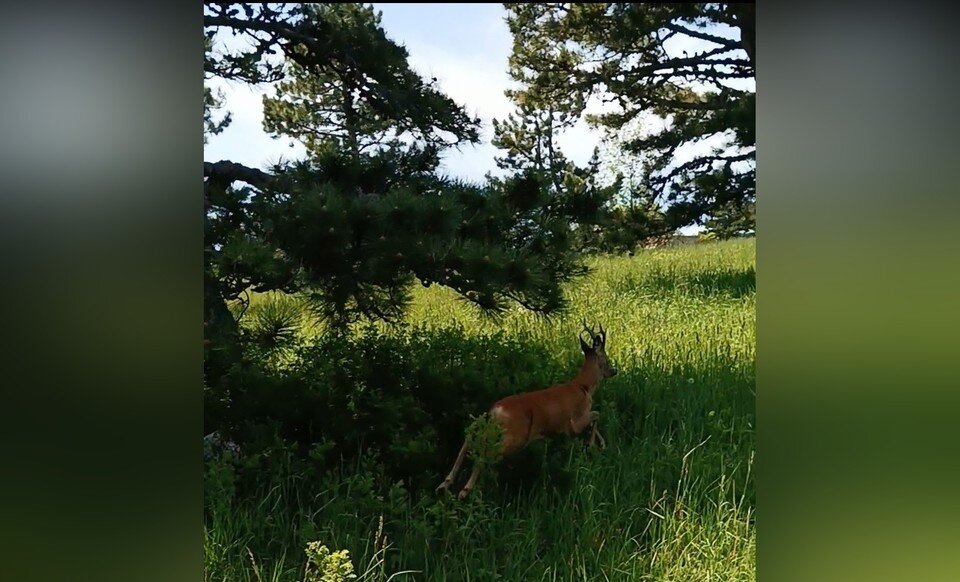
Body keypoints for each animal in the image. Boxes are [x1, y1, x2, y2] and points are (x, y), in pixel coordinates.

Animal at [434, 320, 616, 502]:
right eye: (605, 358)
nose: (614, 371)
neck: (584, 386)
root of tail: (496, 410)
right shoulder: (574, 422)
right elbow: (596, 415)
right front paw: (593, 445)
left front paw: (601, 445)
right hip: (514, 436)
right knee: (487, 451)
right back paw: (465, 490)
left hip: (490, 424)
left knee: (471, 434)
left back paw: (445, 484)